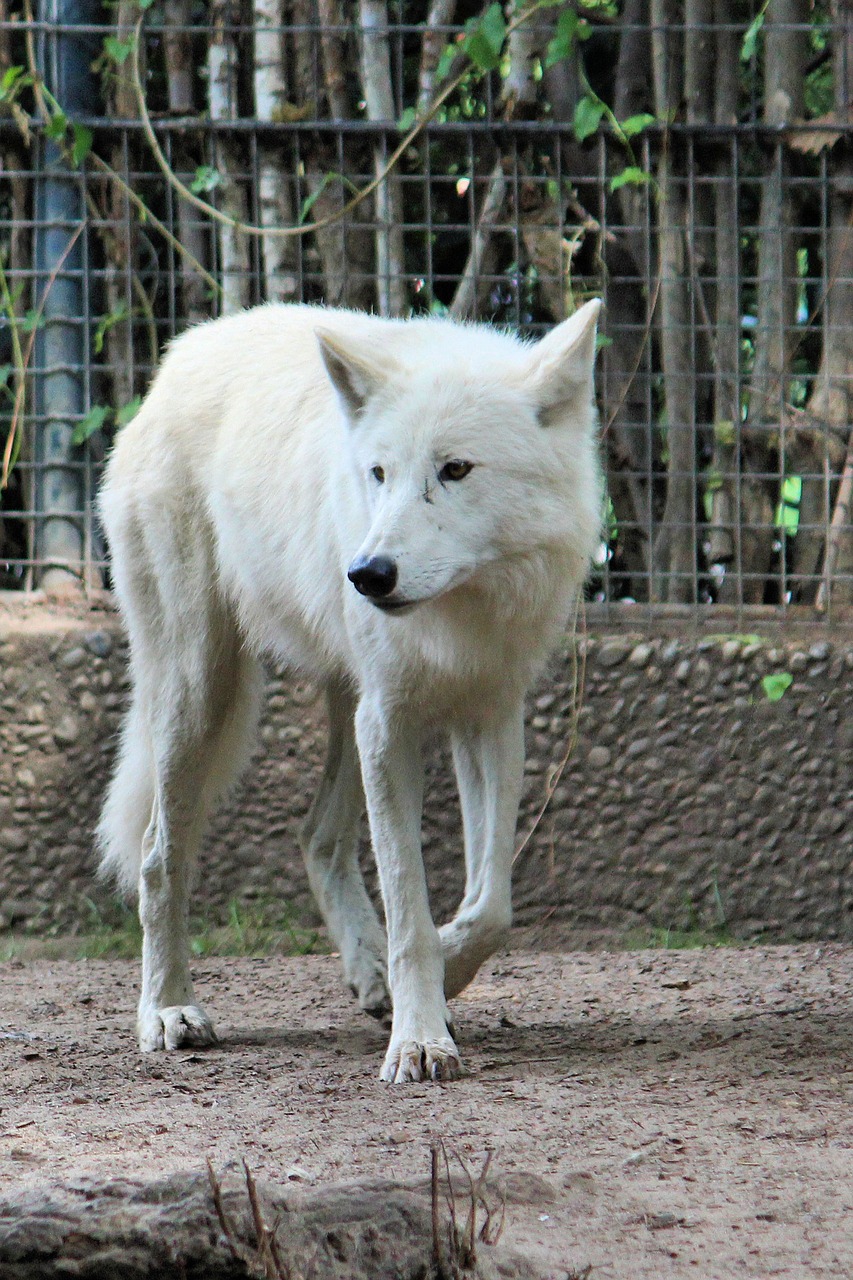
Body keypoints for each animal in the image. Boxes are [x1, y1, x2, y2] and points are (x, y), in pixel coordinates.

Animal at [96, 296, 601, 1080]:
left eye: (455, 469)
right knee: (158, 857)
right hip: (200, 694)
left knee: (317, 838)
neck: (460, 613)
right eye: (379, 473)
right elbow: (409, 907)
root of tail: (177, 359)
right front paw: (419, 1040)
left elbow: (491, 907)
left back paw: (366, 974)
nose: (367, 574)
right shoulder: (390, 722)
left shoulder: (487, 713)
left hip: (342, 703)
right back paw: (168, 1011)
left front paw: (434, 980)